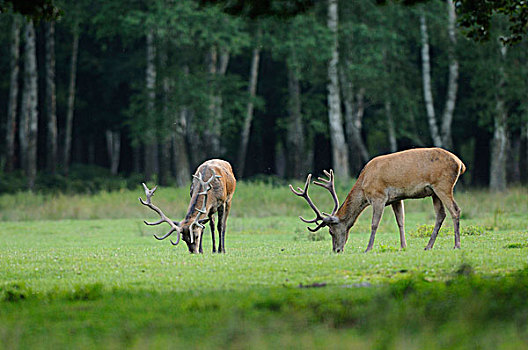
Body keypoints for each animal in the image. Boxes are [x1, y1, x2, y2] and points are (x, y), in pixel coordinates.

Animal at [290, 147, 468, 252]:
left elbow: (374, 223)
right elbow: (400, 221)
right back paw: (428, 246)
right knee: (441, 215)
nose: (336, 250)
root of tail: (461, 164)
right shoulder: (396, 198)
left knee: (455, 210)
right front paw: (403, 246)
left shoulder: (378, 196)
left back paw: (457, 245)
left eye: (331, 231)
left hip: (443, 185)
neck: (363, 183)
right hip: (434, 192)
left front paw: (368, 248)